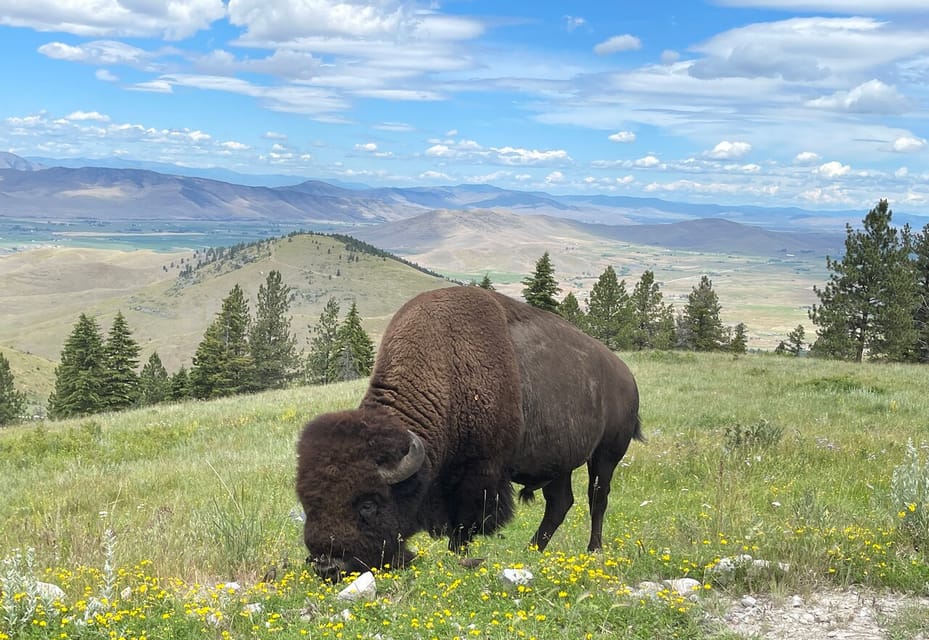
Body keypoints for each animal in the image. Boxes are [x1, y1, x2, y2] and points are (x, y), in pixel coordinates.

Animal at [294, 284, 640, 580]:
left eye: (368, 504)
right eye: (307, 502)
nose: (328, 565)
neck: (445, 369)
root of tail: (625, 374)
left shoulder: (480, 475)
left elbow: (464, 524)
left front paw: (457, 556)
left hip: (606, 454)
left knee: (597, 498)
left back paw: (593, 550)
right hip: (559, 465)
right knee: (560, 503)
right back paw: (531, 551)